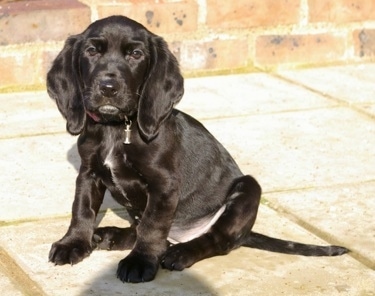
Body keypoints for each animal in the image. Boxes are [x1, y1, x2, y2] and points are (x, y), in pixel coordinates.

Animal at [47, 15, 350, 282]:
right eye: (91, 51)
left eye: (135, 54)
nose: (108, 87)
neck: (117, 127)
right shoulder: (89, 174)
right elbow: (82, 211)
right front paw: (73, 243)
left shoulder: (164, 184)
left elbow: (152, 227)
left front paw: (140, 261)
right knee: (147, 230)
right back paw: (110, 235)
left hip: (248, 190)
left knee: (214, 240)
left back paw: (180, 253)